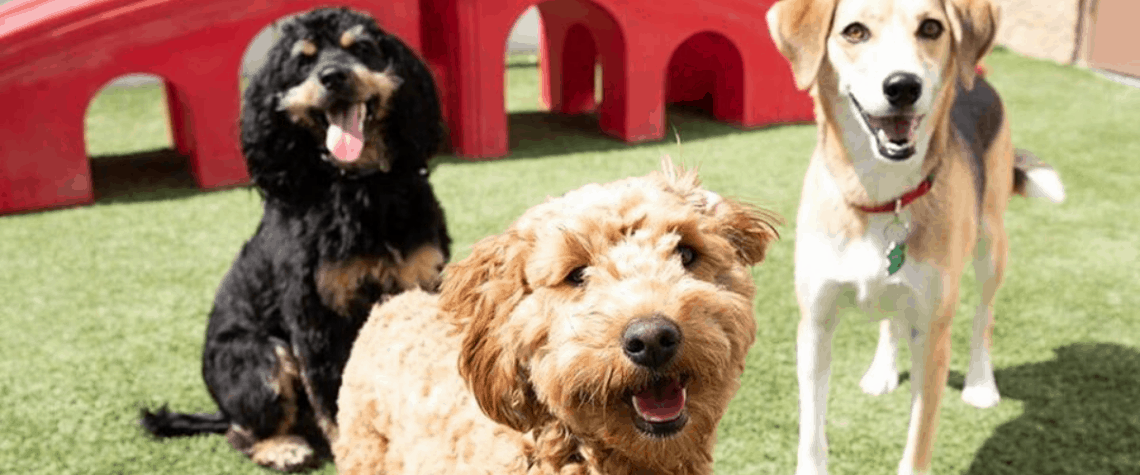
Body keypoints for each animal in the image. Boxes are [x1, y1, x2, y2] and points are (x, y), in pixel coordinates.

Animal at [140, 7, 446, 469]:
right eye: (302, 61)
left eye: (362, 48)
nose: (333, 76)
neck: (359, 189)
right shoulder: (316, 316)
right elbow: (332, 397)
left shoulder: (420, 283)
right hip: (257, 357)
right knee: (240, 432)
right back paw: (282, 447)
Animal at [766, 0, 1067, 471]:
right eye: (854, 31)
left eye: (931, 28)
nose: (903, 86)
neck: (879, 196)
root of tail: (978, 79)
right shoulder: (814, 324)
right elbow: (811, 434)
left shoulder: (933, 338)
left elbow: (918, 441)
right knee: (892, 315)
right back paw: (882, 372)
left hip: (990, 243)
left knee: (983, 316)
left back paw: (981, 384)